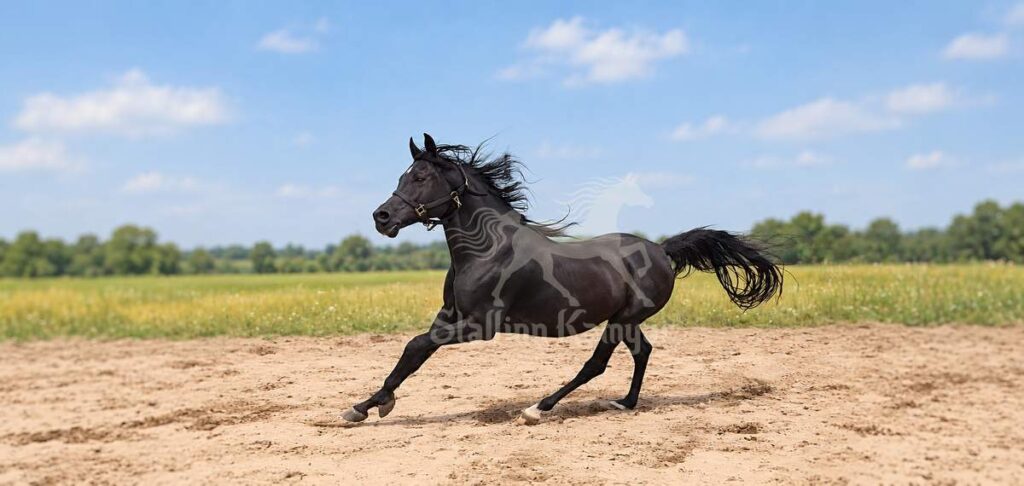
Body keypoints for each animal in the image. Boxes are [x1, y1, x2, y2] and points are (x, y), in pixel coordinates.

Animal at [342, 133, 783, 424]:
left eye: (420, 177)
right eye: (403, 176)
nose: (381, 217)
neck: (487, 248)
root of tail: (661, 250)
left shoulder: (480, 326)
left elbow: (416, 346)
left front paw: (369, 406)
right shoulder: (449, 316)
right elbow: (413, 352)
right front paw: (366, 406)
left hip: (623, 319)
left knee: (597, 364)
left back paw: (539, 408)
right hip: (627, 320)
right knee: (642, 352)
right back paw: (624, 403)